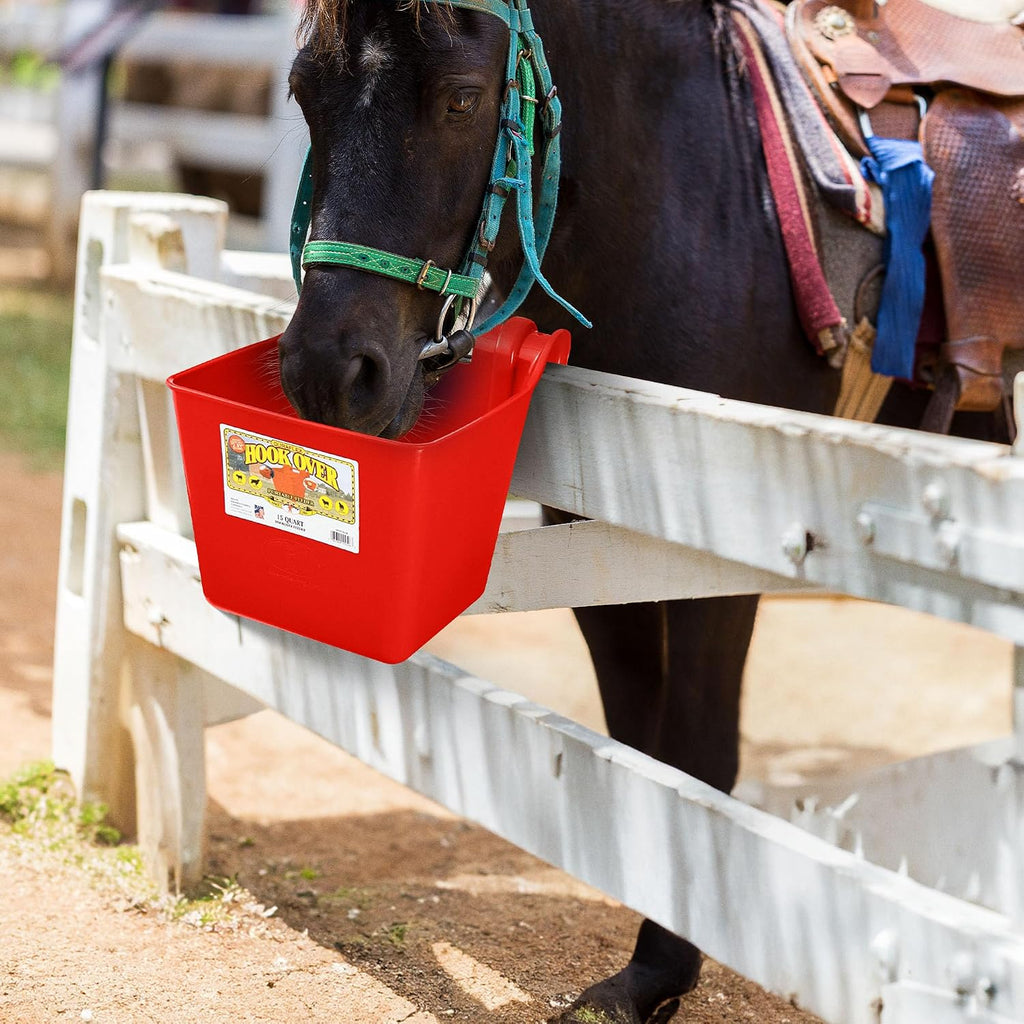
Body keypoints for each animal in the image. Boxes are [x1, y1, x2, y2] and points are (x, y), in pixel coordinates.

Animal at [276, 1, 1003, 1020]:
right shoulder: (588, 525)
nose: (328, 375)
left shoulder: (722, 550)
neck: (698, 197)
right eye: (306, 94)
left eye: (461, 97)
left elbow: (694, 756)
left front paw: (663, 966)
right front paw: (647, 956)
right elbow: (636, 742)